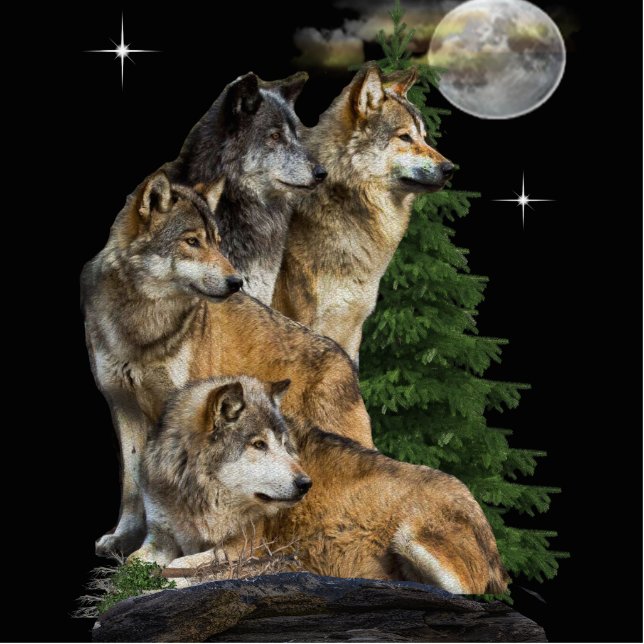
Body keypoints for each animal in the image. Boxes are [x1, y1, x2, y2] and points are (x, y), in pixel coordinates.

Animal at [129, 376, 311, 566]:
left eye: (283, 444)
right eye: (259, 444)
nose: (306, 483)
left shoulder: (242, 545)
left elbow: (182, 562)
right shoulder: (160, 536)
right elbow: (130, 560)